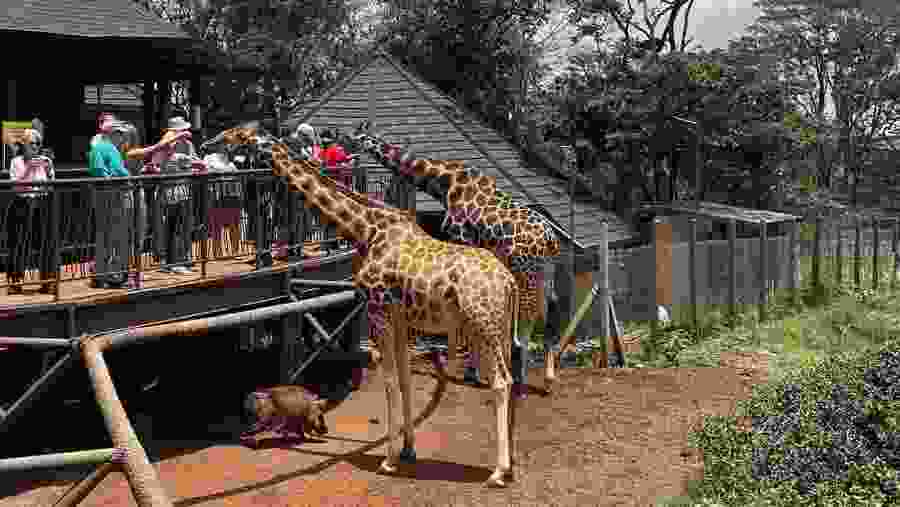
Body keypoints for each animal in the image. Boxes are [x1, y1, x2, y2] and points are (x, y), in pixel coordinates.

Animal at [200, 123, 523, 487]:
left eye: (236, 133)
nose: (208, 142)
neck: (364, 229)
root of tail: (508, 282)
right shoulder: (399, 316)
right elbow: (404, 379)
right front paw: (408, 449)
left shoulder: (377, 309)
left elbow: (389, 381)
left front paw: (388, 460)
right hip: (500, 327)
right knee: (512, 379)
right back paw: (511, 465)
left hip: (482, 324)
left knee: (501, 381)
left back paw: (497, 472)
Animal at [348, 122, 563, 394]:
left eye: (351, 137)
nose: (339, 145)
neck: (443, 181)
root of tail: (550, 239)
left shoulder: (459, 236)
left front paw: (471, 370)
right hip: (545, 271)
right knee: (551, 310)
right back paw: (547, 379)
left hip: (526, 269)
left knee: (530, 317)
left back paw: (521, 380)